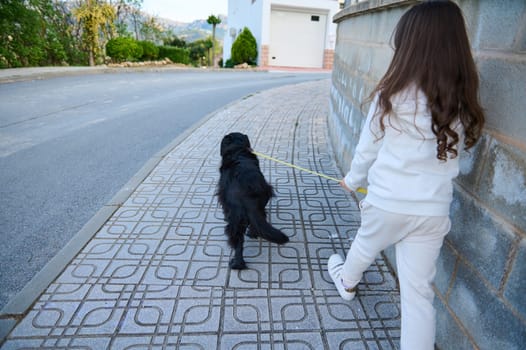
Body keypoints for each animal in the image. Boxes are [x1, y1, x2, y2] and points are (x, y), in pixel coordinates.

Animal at [220, 133, 292, 270]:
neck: (238, 151)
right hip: (262, 201)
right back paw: (253, 233)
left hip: (235, 218)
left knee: (238, 242)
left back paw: (237, 264)